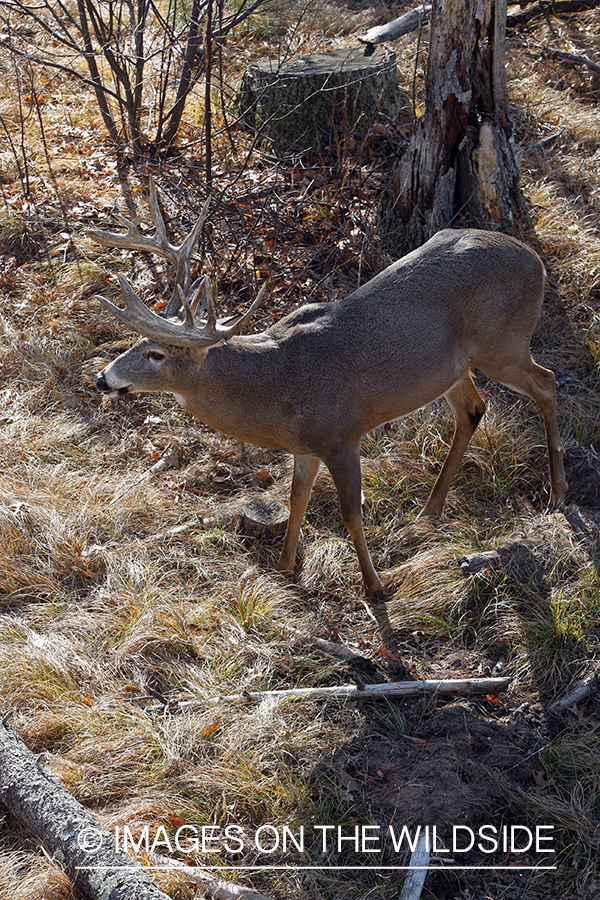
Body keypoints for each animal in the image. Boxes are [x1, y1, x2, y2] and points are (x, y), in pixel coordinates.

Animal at [90, 179, 568, 604]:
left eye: (155, 353)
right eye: (137, 343)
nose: (103, 379)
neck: (277, 387)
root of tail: (537, 261)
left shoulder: (342, 435)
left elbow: (351, 513)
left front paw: (375, 587)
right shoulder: (305, 446)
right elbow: (296, 499)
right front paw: (284, 568)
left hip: (502, 344)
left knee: (547, 383)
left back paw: (557, 492)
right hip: (451, 370)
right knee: (473, 409)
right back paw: (429, 512)